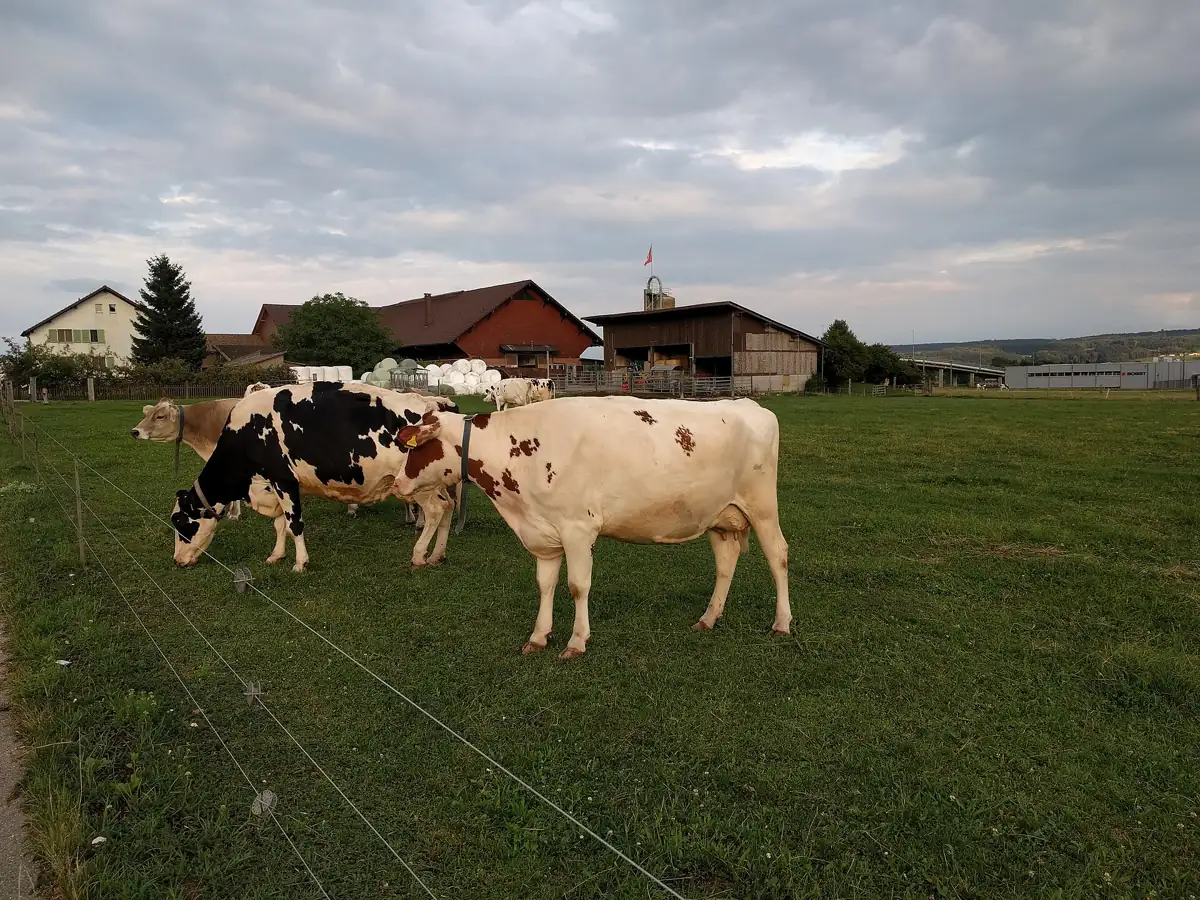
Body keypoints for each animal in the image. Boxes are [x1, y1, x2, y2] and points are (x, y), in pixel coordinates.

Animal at [170, 382, 458, 572]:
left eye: (180, 523)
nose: (177, 560)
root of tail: (434, 404)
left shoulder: (283, 480)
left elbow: (295, 524)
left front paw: (300, 563)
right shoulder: (278, 485)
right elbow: (280, 524)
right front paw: (276, 555)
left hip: (418, 485)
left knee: (436, 509)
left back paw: (419, 555)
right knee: (449, 506)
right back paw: (439, 554)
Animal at [392, 395, 791, 659]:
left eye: (414, 448)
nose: (396, 483)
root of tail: (748, 404)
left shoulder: (578, 529)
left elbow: (577, 586)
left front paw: (576, 641)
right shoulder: (543, 533)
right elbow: (545, 584)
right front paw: (539, 636)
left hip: (762, 507)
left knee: (778, 557)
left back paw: (781, 623)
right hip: (720, 517)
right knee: (725, 563)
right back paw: (708, 618)